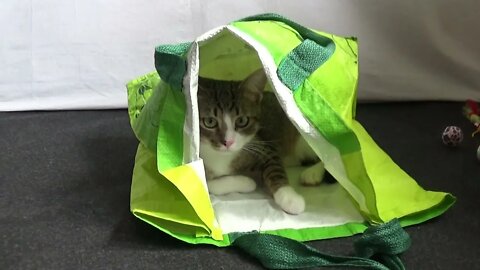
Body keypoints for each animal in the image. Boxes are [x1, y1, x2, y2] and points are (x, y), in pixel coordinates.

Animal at [196, 69, 326, 215]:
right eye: (210, 122)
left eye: (242, 121)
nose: (228, 142)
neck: (220, 157)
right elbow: (203, 183)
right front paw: (247, 182)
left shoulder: (264, 146)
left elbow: (274, 168)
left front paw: (289, 198)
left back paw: (313, 173)